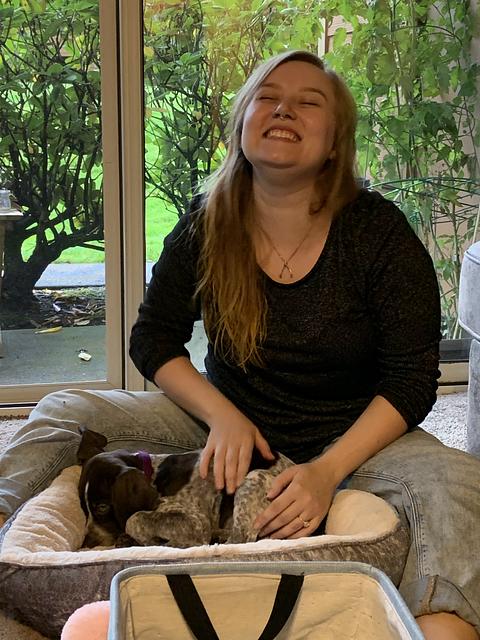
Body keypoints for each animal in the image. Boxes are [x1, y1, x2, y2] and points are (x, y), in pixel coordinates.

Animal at [77, 426, 293, 548]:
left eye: (102, 507)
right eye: (82, 508)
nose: (86, 544)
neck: (153, 474)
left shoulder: (195, 521)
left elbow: (134, 518)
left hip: (253, 477)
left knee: (240, 538)